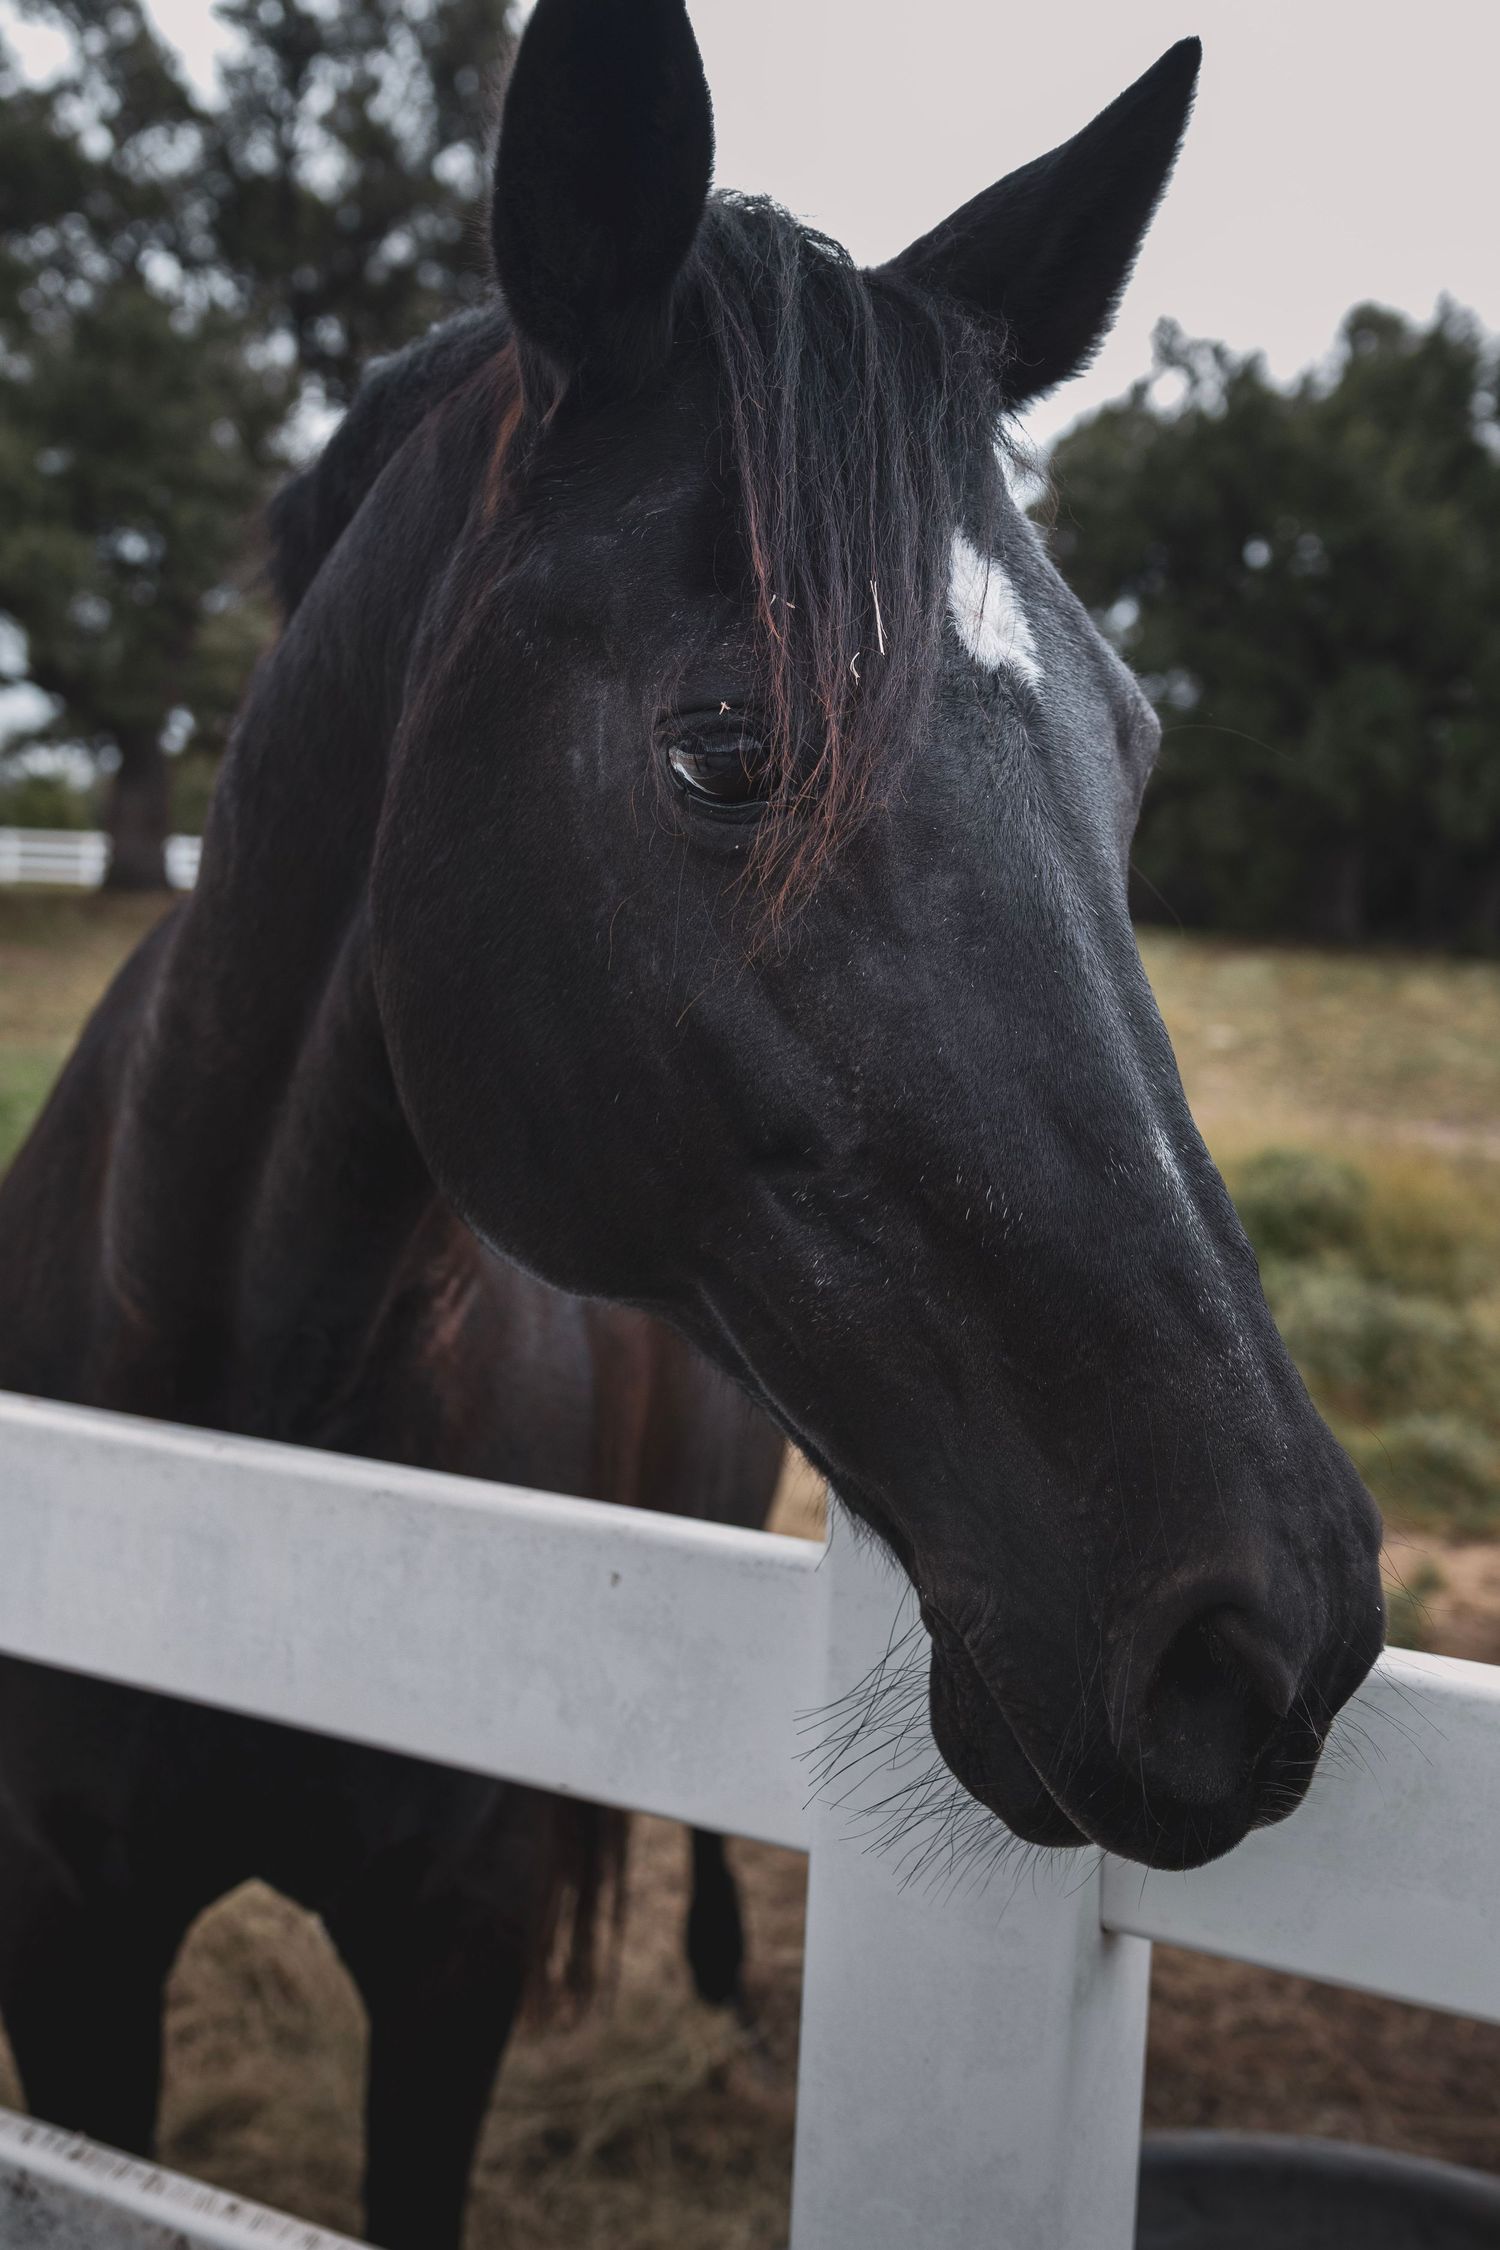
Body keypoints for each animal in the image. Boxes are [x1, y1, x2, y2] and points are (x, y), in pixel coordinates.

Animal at [0, 1, 1385, 2242]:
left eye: (1137, 746)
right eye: (731, 745)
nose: (1267, 1636)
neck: (235, 1494)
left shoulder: (453, 1961)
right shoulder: (72, 1957)